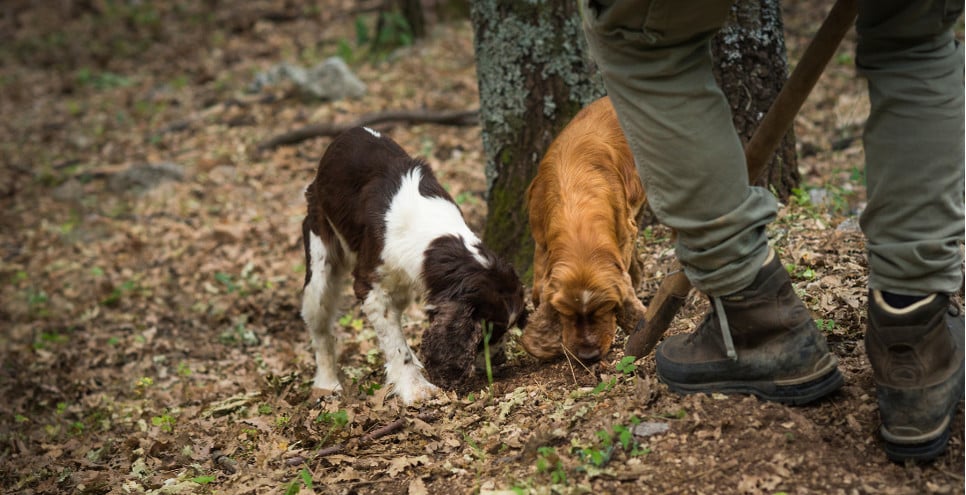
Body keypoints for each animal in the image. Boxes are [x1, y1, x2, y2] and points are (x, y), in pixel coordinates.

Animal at [302, 126, 528, 404]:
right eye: (489, 332)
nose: (499, 361)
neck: (432, 234)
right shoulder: (370, 287)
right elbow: (397, 346)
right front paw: (416, 388)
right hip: (319, 263)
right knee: (320, 327)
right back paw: (326, 384)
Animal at [520, 95, 652, 362]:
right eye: (566, 313)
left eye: (605, 308)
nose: (588, 355)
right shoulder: (540, 240)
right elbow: (538, 288)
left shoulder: (624, 232)